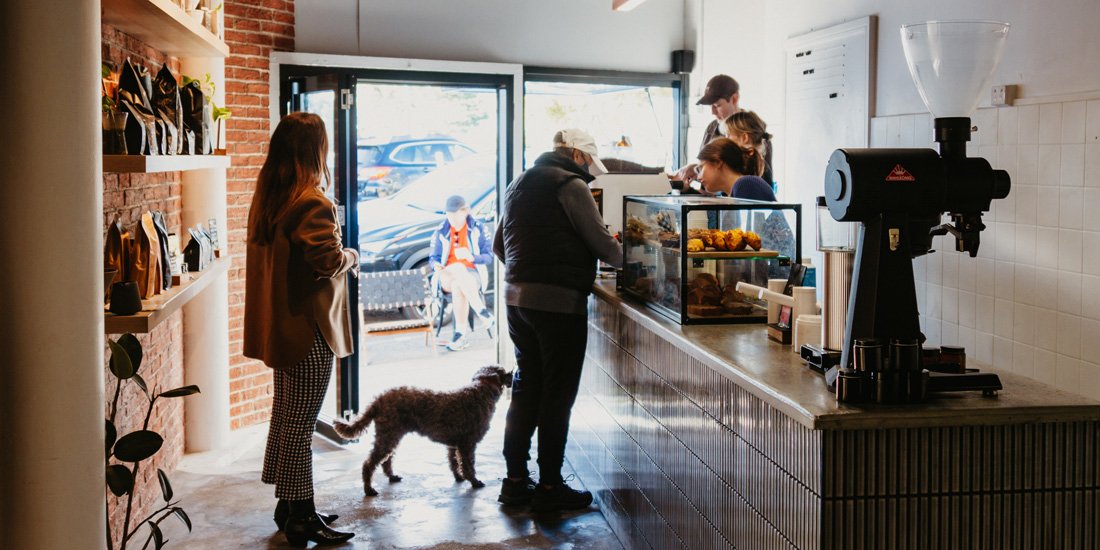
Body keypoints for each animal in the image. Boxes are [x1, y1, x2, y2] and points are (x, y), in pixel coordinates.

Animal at [332, 367, 512, 497]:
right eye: (503, 371)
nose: (513, 374)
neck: (480, 392)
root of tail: (379, 400)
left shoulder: (454, 444)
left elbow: (454, 462)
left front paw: (458, 477)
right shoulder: (467, 444)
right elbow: (468, 465)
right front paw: (474, 481)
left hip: (391, 435)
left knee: (385, 461)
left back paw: (392, 476)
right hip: (388, 436)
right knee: (369, 464)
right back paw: (369, 489)